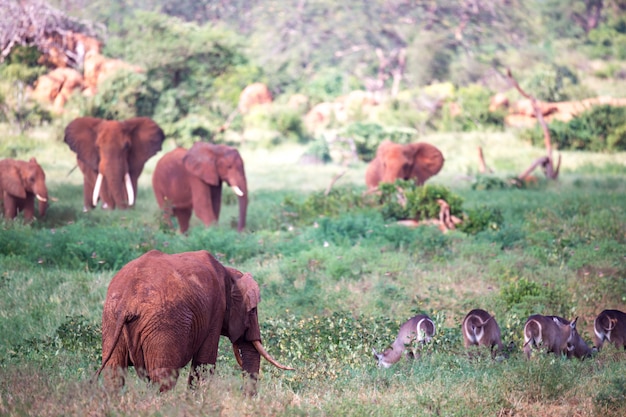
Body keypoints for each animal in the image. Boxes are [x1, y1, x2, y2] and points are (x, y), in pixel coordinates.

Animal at [95, 250, 294, 394]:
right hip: (163, 325)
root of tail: (129, 299)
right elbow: (204, 364)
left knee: (114, 375)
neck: (228, 273)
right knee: (163, 378)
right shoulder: (215, 310)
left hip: (111, 319)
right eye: (252, 310)